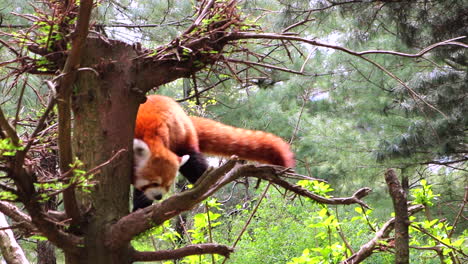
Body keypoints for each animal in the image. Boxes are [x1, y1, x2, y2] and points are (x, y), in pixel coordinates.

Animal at [133, 95, 292, 206]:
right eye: (154, 183)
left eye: (167, 185)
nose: (159, 196)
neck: (150, 138)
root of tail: (183, 114)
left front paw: (140, 207)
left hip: (182, 136)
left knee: (193, 161)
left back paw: (205, 181)